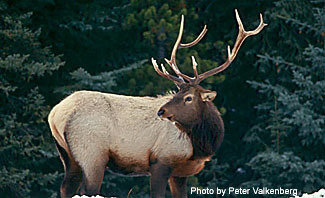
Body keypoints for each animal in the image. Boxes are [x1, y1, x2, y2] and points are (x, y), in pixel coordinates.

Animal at [48, 9, 266, 198]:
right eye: (177, 94)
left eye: (187, 97)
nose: (161, 111)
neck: (200, 145)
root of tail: (55, 114)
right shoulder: (160, 160)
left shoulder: (179, 173)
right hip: (92, 154)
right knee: (87, 190)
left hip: (68, 156)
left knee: (66, 187)